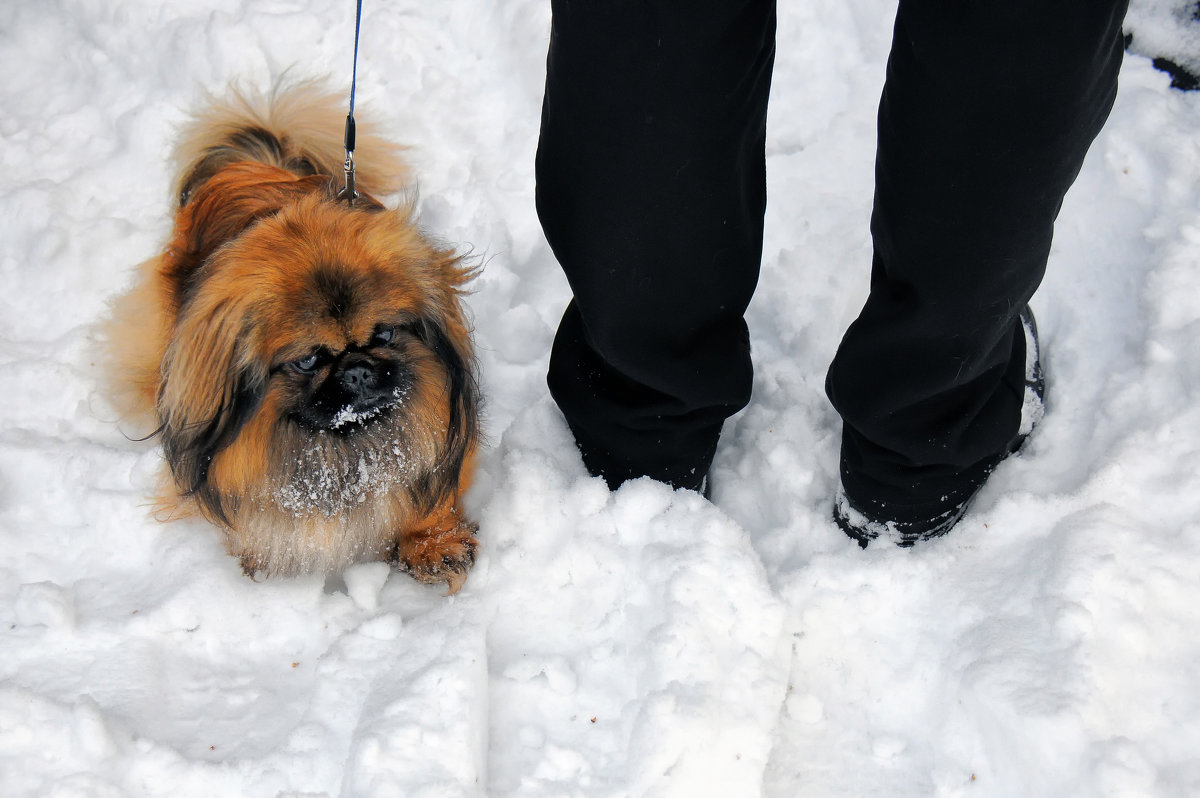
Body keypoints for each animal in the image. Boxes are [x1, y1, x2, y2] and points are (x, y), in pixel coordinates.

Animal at [102, 84, 477, 590]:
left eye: (383, 334)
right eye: (307, 361)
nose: (358, 369)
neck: (347, 448)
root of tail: (256, 163)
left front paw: (434, 543)